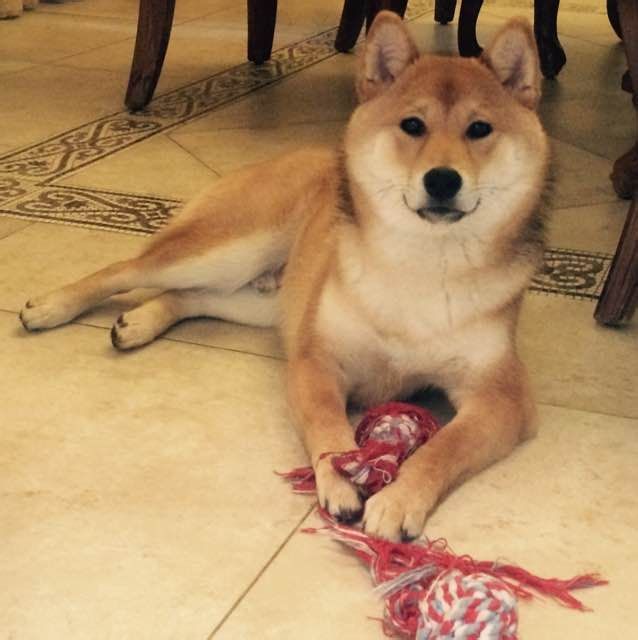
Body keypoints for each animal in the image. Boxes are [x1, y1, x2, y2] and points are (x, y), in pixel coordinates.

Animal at [20, 12, 549, 542]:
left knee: (190, 297)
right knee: (126, 270)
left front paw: (400, 500)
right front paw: (341, 479)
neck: (421, 260)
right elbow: (329, 429)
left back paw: (139, 322)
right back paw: (49, 307)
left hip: (264, 299)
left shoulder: (500, 396)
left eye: (479, 128)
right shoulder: (316, 360)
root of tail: (295, 154)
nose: (442, 179)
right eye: (412, 125)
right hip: (231, 247)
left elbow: (443, 449)